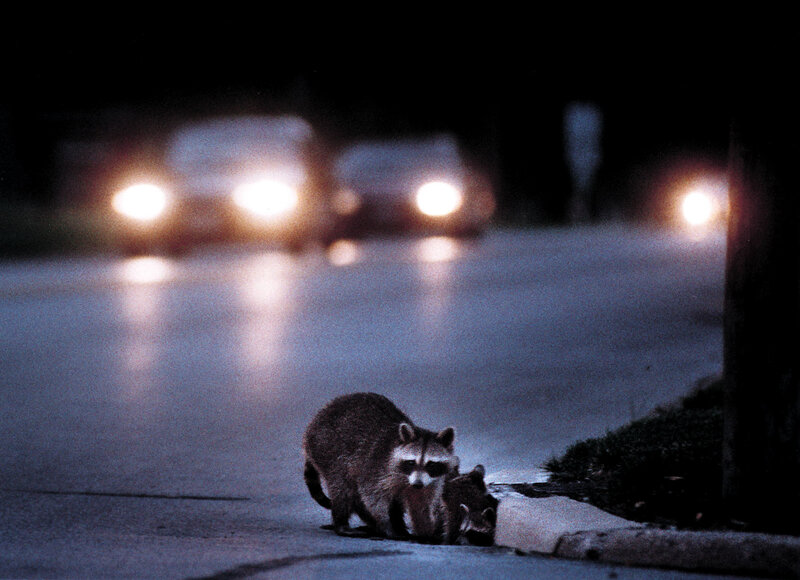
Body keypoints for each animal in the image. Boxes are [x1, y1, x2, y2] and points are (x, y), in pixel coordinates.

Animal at [302, 392, 458, 541]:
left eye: (431, 464)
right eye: (411, 462)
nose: (417, 484)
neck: (405, 478)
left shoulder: (432, 481)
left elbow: (421, 503)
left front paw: (426, 530)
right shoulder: (376, 467)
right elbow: (372, 496)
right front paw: (385, 524)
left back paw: (395, 525)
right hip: (327, 447)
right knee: (342, 486)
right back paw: (342, 523)